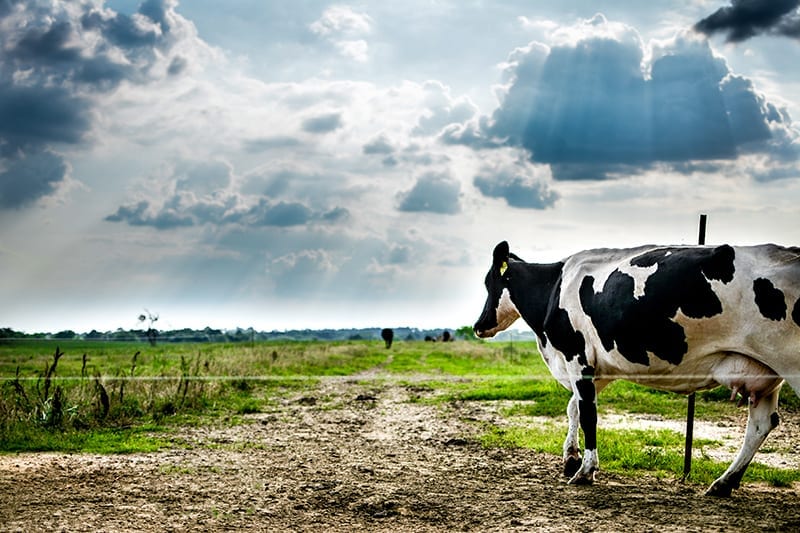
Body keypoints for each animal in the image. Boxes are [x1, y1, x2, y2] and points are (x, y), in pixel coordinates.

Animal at [472, 239, 796, 496]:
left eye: (489, 283)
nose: (478, 326)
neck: (554, 289)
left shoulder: (577, 356)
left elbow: (588, 414)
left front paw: (585, 470)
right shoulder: (595, 367)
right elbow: (573, 407)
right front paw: (570, 458)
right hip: (766, 373)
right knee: (760, 424)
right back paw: (723, 483)